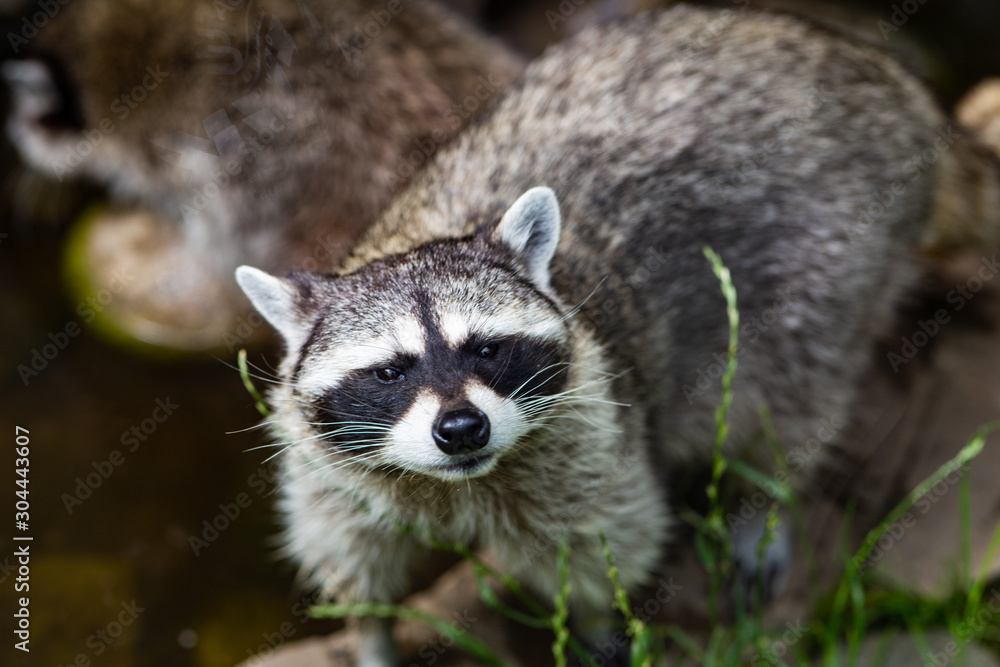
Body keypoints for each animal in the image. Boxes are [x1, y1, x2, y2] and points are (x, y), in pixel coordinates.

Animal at [236, 3, 1000, 664]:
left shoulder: (593, 430)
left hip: (834, 254)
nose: (461, 428)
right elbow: (348, 553)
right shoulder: (325, 468)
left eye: (485, 348)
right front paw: (370, 634)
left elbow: (606, 539)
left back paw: (765, 495)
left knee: (788, 395)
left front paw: (599, 620)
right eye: (392, 369)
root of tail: (879, 74)